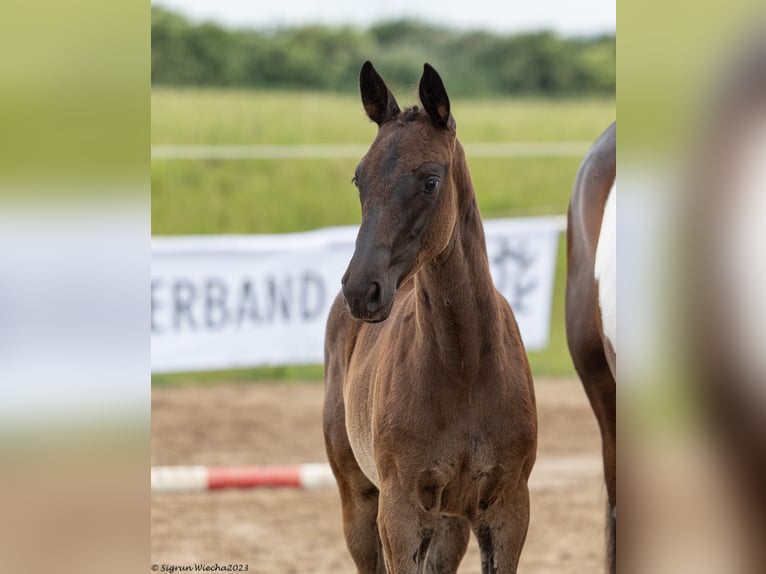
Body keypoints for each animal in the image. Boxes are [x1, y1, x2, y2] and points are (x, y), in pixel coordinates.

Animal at [324, 60, 540, 572]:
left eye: (430, 181)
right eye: (359, 179)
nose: (361, 289)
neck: (465, 368)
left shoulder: (507, 511)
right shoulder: (400, 514)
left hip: (450, 522)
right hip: (359, 500)